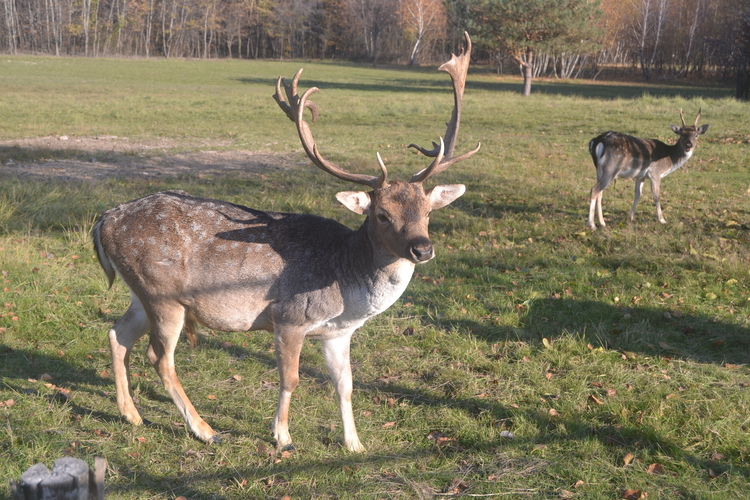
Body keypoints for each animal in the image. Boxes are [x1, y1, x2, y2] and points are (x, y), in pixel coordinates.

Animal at [95, 32, 482, 454]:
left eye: (428, 211)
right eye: (382, 214)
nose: (422, 248)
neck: (347, 284)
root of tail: (105, 219)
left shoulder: (337, 333)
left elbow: (345, 385)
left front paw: (355, 444)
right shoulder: (289, 316)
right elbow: (291, 379)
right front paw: (283, 437)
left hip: (141, 293)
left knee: (117, 334)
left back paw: (131, 415)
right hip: (162, 295)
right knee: (160, 358)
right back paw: (204, 429)